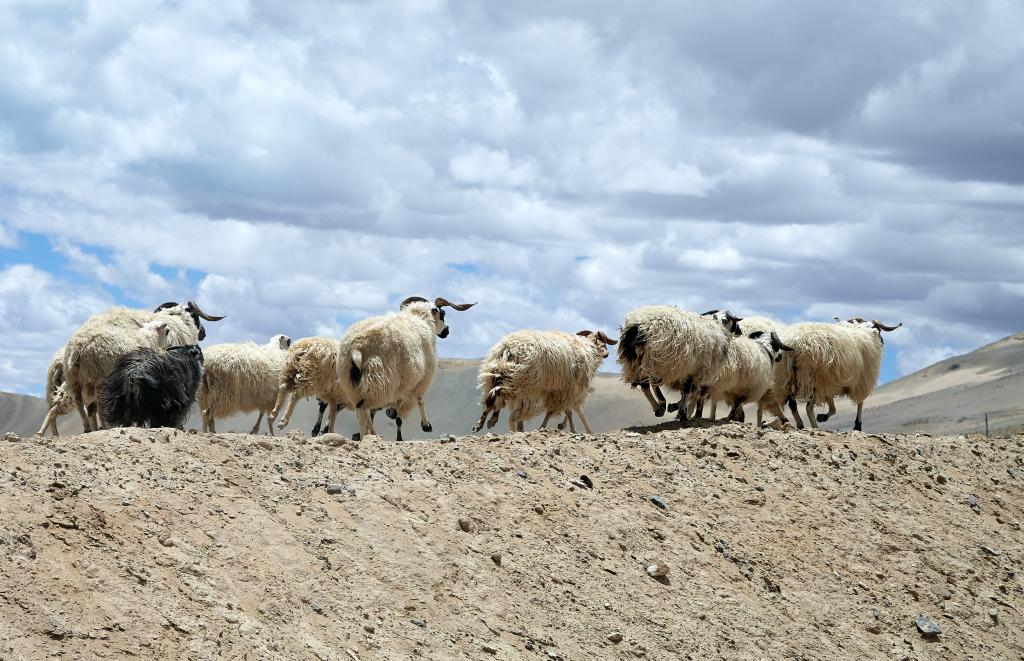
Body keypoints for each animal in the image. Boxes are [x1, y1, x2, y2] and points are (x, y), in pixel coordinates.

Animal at [337, 298, 477, 442]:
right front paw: (426, 425)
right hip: (378, 380)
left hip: (352, 384)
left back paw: (371, 433)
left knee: (363, 411)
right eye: (442, 314)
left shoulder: (402, 382)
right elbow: (419, 399)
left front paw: (393, 414)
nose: (447, 331)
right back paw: (365, 436)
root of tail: (356, 349)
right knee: (363, 410)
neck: (422, 319)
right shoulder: (423, 376)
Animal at [471, 329, 614, 435]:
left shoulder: (557, 390)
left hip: (498, 376)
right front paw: (582, 430)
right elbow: (575, 410)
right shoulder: (571, 389)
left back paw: (483, 422)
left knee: (492, 397)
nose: (607, 354)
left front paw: (550, 426)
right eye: (603, 342)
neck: (588, 348)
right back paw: (498, 423)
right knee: (500, 397)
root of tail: (509, 348)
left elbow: (558, 411)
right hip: (521, 380)